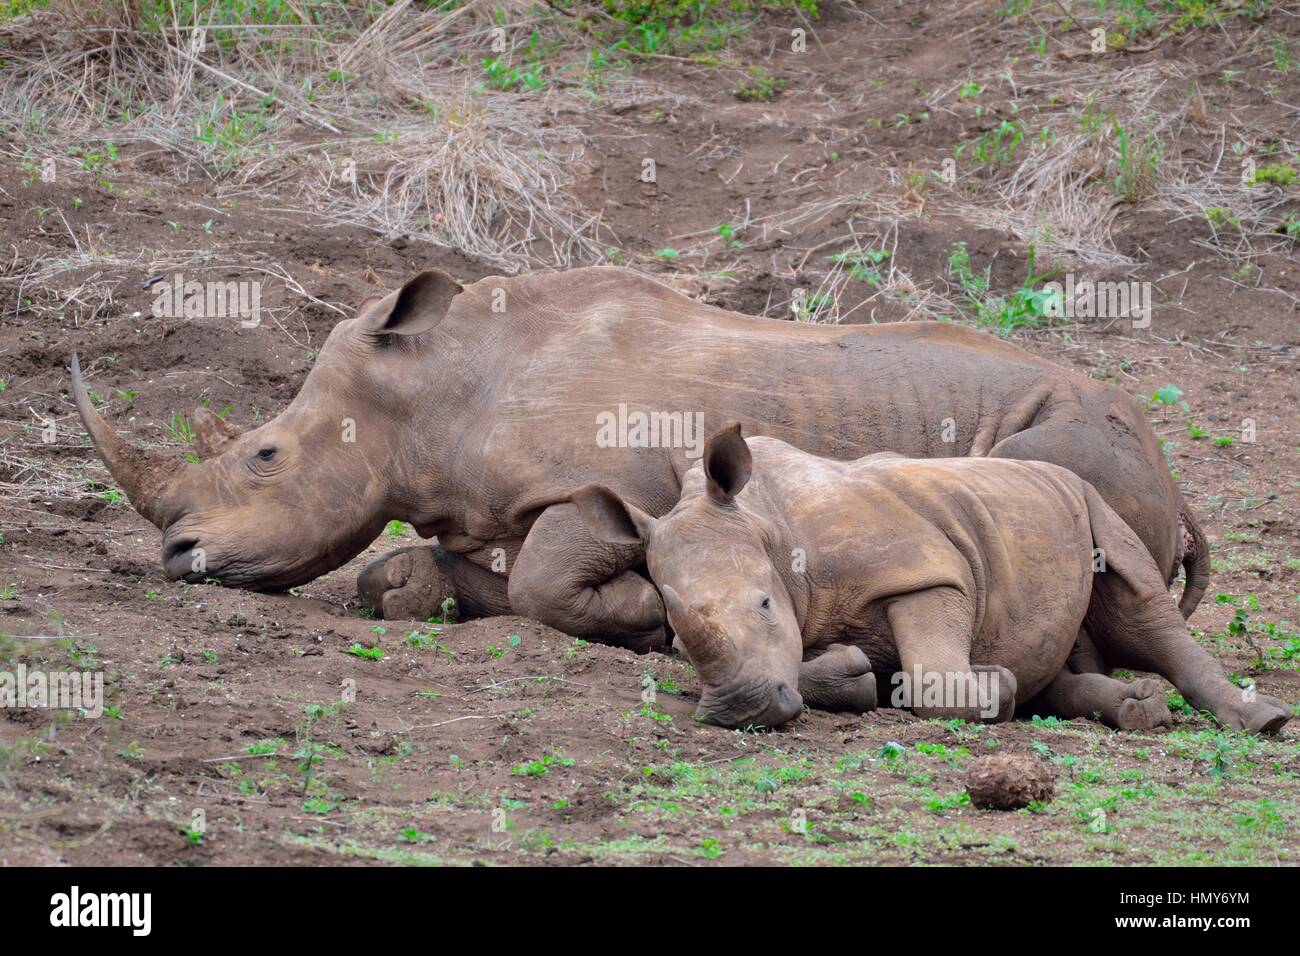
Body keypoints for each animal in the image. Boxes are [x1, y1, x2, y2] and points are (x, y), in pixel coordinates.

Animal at [569, 424, 1289, 733]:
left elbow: (935, 674)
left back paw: (1263, 721)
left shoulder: (924, 573)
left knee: (1140, 607)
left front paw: (990, 690)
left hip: (1091, 498)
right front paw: (855, 678)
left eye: (767, 603)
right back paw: (1135, 710)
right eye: (675, 633)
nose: (745, 712)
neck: (766, 522)